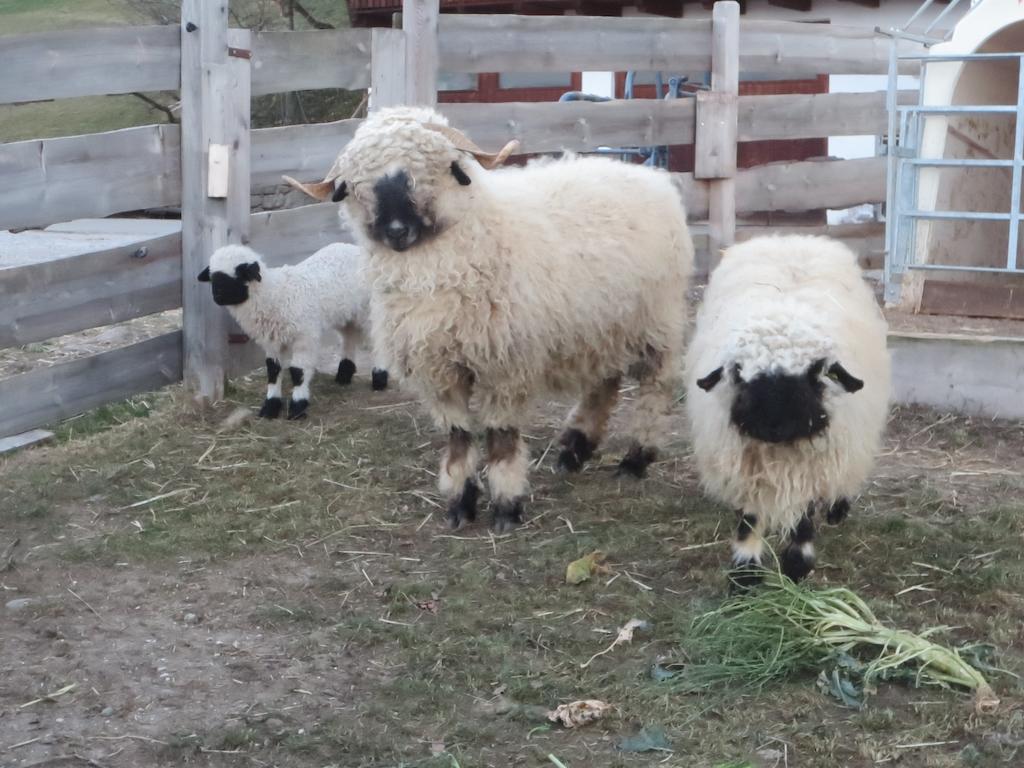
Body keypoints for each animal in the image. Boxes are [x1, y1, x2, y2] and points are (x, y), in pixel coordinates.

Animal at [196, 243, 387, 421]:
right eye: (212, 276)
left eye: (240, 274)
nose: (217, 297)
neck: (274, 295)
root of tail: (353, 247)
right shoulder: (272, 342)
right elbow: (273, 371)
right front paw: (270, 407)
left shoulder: (305, 338)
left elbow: (298, 372)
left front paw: (298, 407)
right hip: (347, 314)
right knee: (349, 336)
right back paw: (344, 375)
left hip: (367, 310)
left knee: (377, 339)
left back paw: (379, 378)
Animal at [284, 105, 692, 532]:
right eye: (356, 184)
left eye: (435, 167)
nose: (396, 231)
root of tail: (648, 174)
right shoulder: (438, 371)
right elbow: (458, 436)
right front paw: (461, 503)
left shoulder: (504, 367)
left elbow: (500, 437)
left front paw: (507, 507)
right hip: (602, 323)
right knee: (604, 383)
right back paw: (574, 450)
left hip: (656, 319)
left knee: (655, 385)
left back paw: (635, 459)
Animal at [684, 234, 892, 589]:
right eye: (737, 372)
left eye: (816, 372)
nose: (773, 426)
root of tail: (790, 239)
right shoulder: (746, 465)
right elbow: (750, 518)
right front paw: (746, 573)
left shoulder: (816, 465)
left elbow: (805, 517)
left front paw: (796, 566)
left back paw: (837, 508)